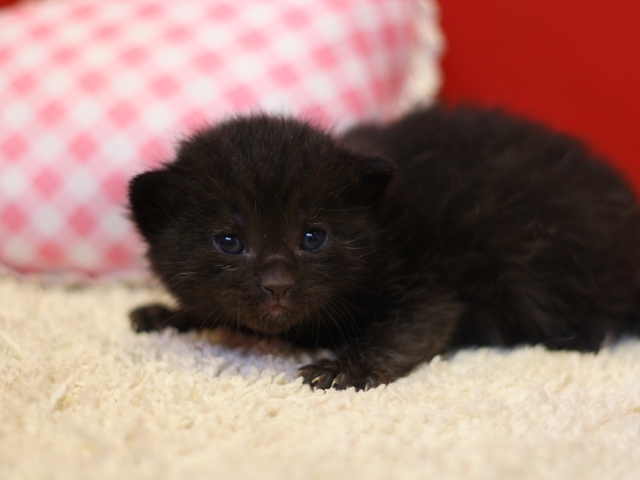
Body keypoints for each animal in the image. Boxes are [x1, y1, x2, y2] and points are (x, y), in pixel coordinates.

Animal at [129, 106, 640, 390]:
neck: (384, 222)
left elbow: (410, 329)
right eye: (229, 242)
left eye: (313, 237)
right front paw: (168, 314)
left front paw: (344, 369)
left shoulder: (426, 281)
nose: (277, 284)